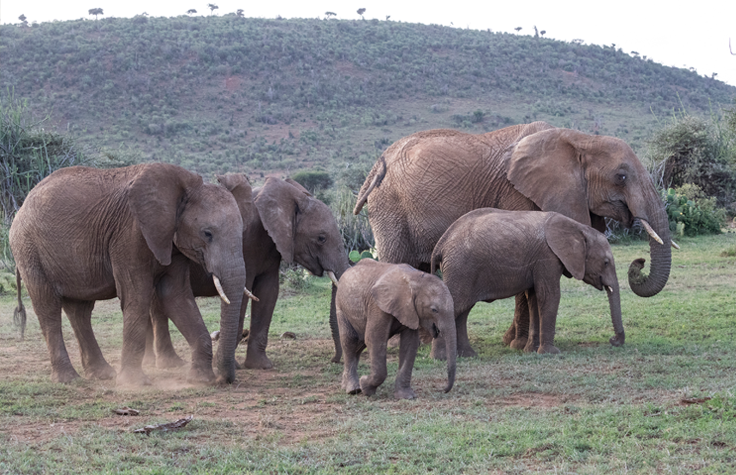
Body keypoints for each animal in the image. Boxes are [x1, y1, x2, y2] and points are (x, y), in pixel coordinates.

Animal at [9, 163, 246, 385]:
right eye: (207, 233)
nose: (223, 379)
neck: (183, 187)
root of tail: (22, 206)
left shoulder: (171, 240)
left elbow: (176, 296)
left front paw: (200, 379)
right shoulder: (129, 234)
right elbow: (138, 296)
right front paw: (134, 383)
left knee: (80, 310)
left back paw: (102, 374)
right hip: (29, 250)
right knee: (48, 307)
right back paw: (68, 378)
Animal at [146, 175, 351, 370]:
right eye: (321, 238)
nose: (334, 360)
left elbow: (269, 292)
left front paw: (260, 366)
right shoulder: (246, 245)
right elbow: (245, 292)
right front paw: (229, 366)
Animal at [336, 259, 456, 399]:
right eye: (434, 310)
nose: (444, 389)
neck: (415, 278)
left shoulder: (410, 310)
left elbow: (410, 344)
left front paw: (406, 396)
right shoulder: (377, 305)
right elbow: (374, 339)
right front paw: (365, 386)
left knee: (359, 345)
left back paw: (346, 385)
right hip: (341, 307)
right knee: (350, 341)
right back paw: (353, 389)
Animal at [431, 208, 624, 356]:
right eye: (606, 262)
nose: (613, 340)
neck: (578, 228)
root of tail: (440, 245)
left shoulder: (538, 262)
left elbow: (534, 299)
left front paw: (531, 350)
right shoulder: (547, 258)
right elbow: (549, 295)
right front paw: (551, 353)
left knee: (463, 311)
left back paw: (467, 355)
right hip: (461, 269)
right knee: (454, 308)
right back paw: (442, 357)